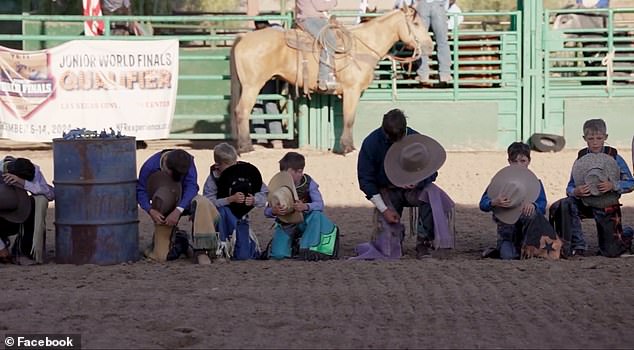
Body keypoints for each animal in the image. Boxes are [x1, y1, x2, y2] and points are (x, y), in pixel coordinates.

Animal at [230, 6, 432, 154]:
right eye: (415, 23)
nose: (430, 46)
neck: (361, 46)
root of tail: (243, 38)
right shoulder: (352, 90)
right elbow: (349, 118)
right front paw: (347, 148)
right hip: (252, 86)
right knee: (242, 111)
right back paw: (247, 147)